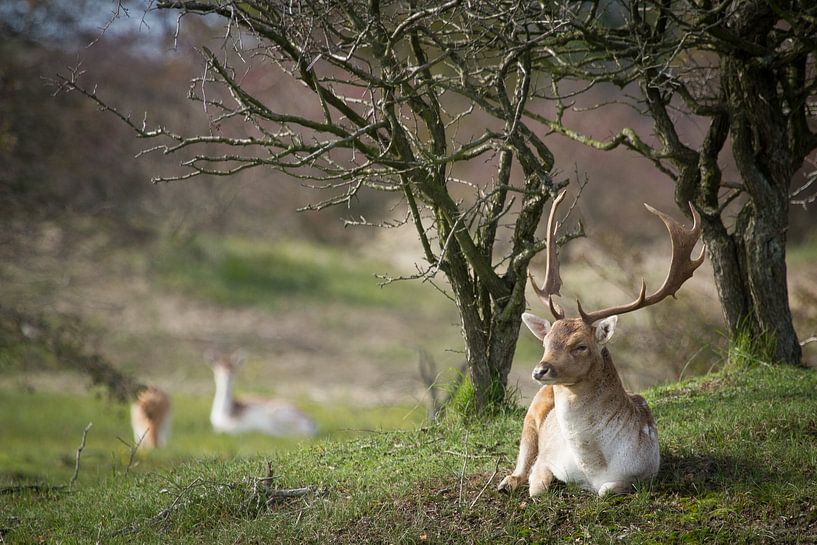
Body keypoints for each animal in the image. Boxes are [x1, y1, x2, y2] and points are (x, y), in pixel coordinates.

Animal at [494, 191, 704, 498]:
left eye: (580, 345)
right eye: (546, 341)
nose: (540, 370)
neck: (592, 467)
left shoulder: (645, 470)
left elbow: (607, 490)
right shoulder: (547, 456)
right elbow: (537, 485)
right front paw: (537, 482)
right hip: (531, 413)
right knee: (523, 455)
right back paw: (506, 481)